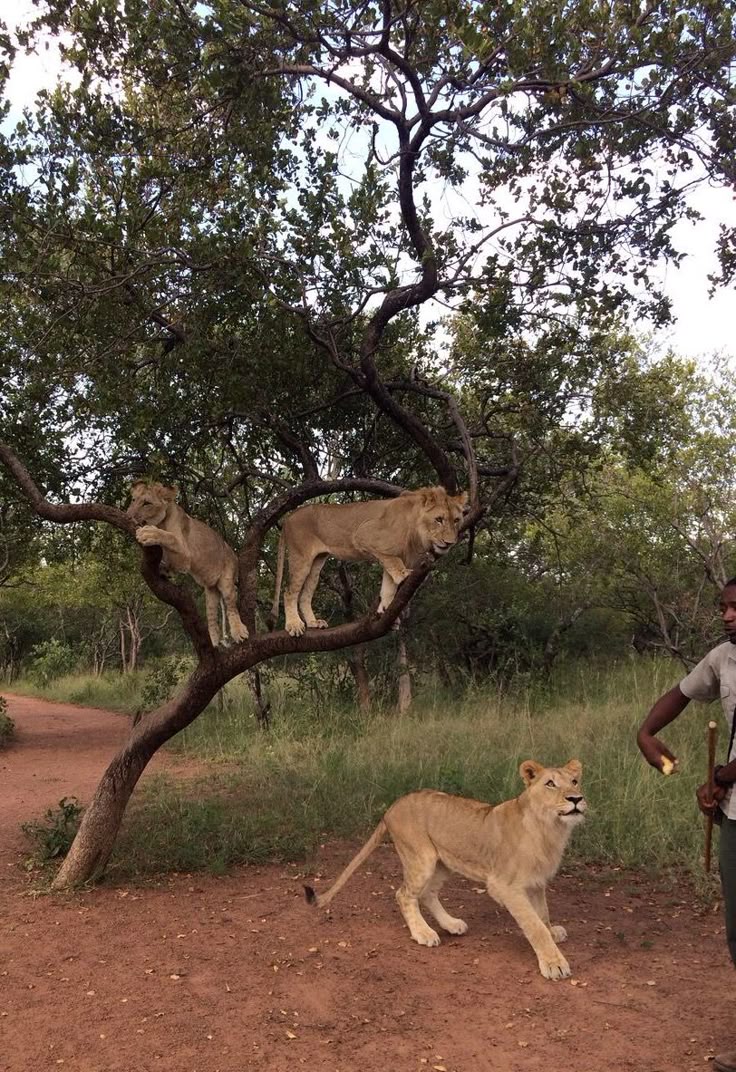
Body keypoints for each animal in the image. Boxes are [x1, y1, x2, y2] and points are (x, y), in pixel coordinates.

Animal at [126, 481, 248, 647]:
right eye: (133, 500)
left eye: (147, 503)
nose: (128, 516)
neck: (162, 521)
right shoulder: (179, 560)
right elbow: (169, 557)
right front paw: (165, 570)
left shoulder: (186, 554)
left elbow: (169, 537)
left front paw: (148, 533)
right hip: (211, 592)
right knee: (212, 619)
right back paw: (214, 643)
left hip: (227, 578)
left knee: (231, 607)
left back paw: (239, 632)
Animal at [271, 486, 468, 637]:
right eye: (439, 519)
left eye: (457, 520)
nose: (450, 543)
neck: (416, 529)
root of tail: (289, 517)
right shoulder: (364, 535)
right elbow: (395, 563)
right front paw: (404, 575)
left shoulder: (387, 553)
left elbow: (388, 587)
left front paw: (386, 612)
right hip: (301, 558)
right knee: (289, 591)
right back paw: (294, 625)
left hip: (316, 563)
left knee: (304, 595)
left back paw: (313, 623)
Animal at [305, 759, 586, 980]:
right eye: (550, 784)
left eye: (575, 781)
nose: (576, 799)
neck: (550, 829)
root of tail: (393, 806)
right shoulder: (504, 886)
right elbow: (534, 924)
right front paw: (554, 963)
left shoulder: (537, 883)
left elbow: (543, 914)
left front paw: (553, 932)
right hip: (422, 857)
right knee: (404, 894)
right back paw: (423, 933)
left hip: (444, 861)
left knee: (427, 893)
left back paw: (450, 925)